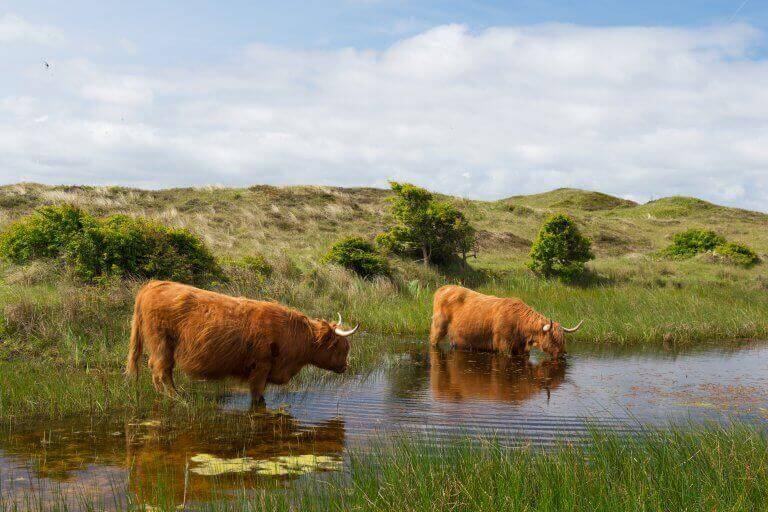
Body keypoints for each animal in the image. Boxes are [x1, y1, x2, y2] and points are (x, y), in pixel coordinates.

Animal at [124, 280, 358, 404]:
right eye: (341, 347)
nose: (346, 366)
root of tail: (152, 285)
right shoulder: (260, 368)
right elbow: (257, 398)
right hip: (162, 343)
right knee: (160, 370)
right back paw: (175, 398)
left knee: (162, 370)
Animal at [432, 284, 584, 360]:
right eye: (553, 339)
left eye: (563, 339)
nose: (563, 354)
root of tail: (444, 287)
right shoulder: (503, 346)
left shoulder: (522, 350)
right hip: (438, 327)